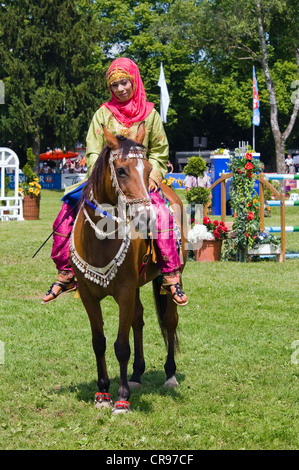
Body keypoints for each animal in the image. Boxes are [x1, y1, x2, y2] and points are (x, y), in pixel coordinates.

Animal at [70, 124, 188, 412]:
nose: (146, 217)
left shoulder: (123, 292)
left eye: (148, 169)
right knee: (138, 318)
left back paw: (169, 375)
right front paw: (103, 393)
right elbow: (99, 343)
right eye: (121, 170)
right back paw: (136, 374)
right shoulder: (88, 296)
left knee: (170, 320)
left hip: (168, 280)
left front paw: (122, 398)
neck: (99, 241)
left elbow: (121, 346)